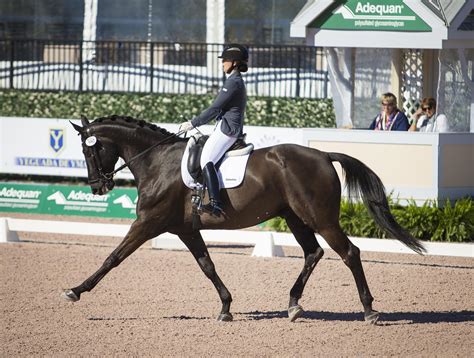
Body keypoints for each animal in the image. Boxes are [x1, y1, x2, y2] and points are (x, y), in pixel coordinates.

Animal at [64, 115, 426, 324]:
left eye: (88, 150)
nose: (97, 187)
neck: (157, 161)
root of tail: (323, 155)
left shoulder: (147, 223)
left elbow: (113, 258)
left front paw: (76, 290)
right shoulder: (184, 230)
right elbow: (207, 266)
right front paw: (226, 308)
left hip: (321, 219)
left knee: (349, 253)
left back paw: (369, 311)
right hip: (295, 218)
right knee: (313, 253)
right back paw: (293, 305)